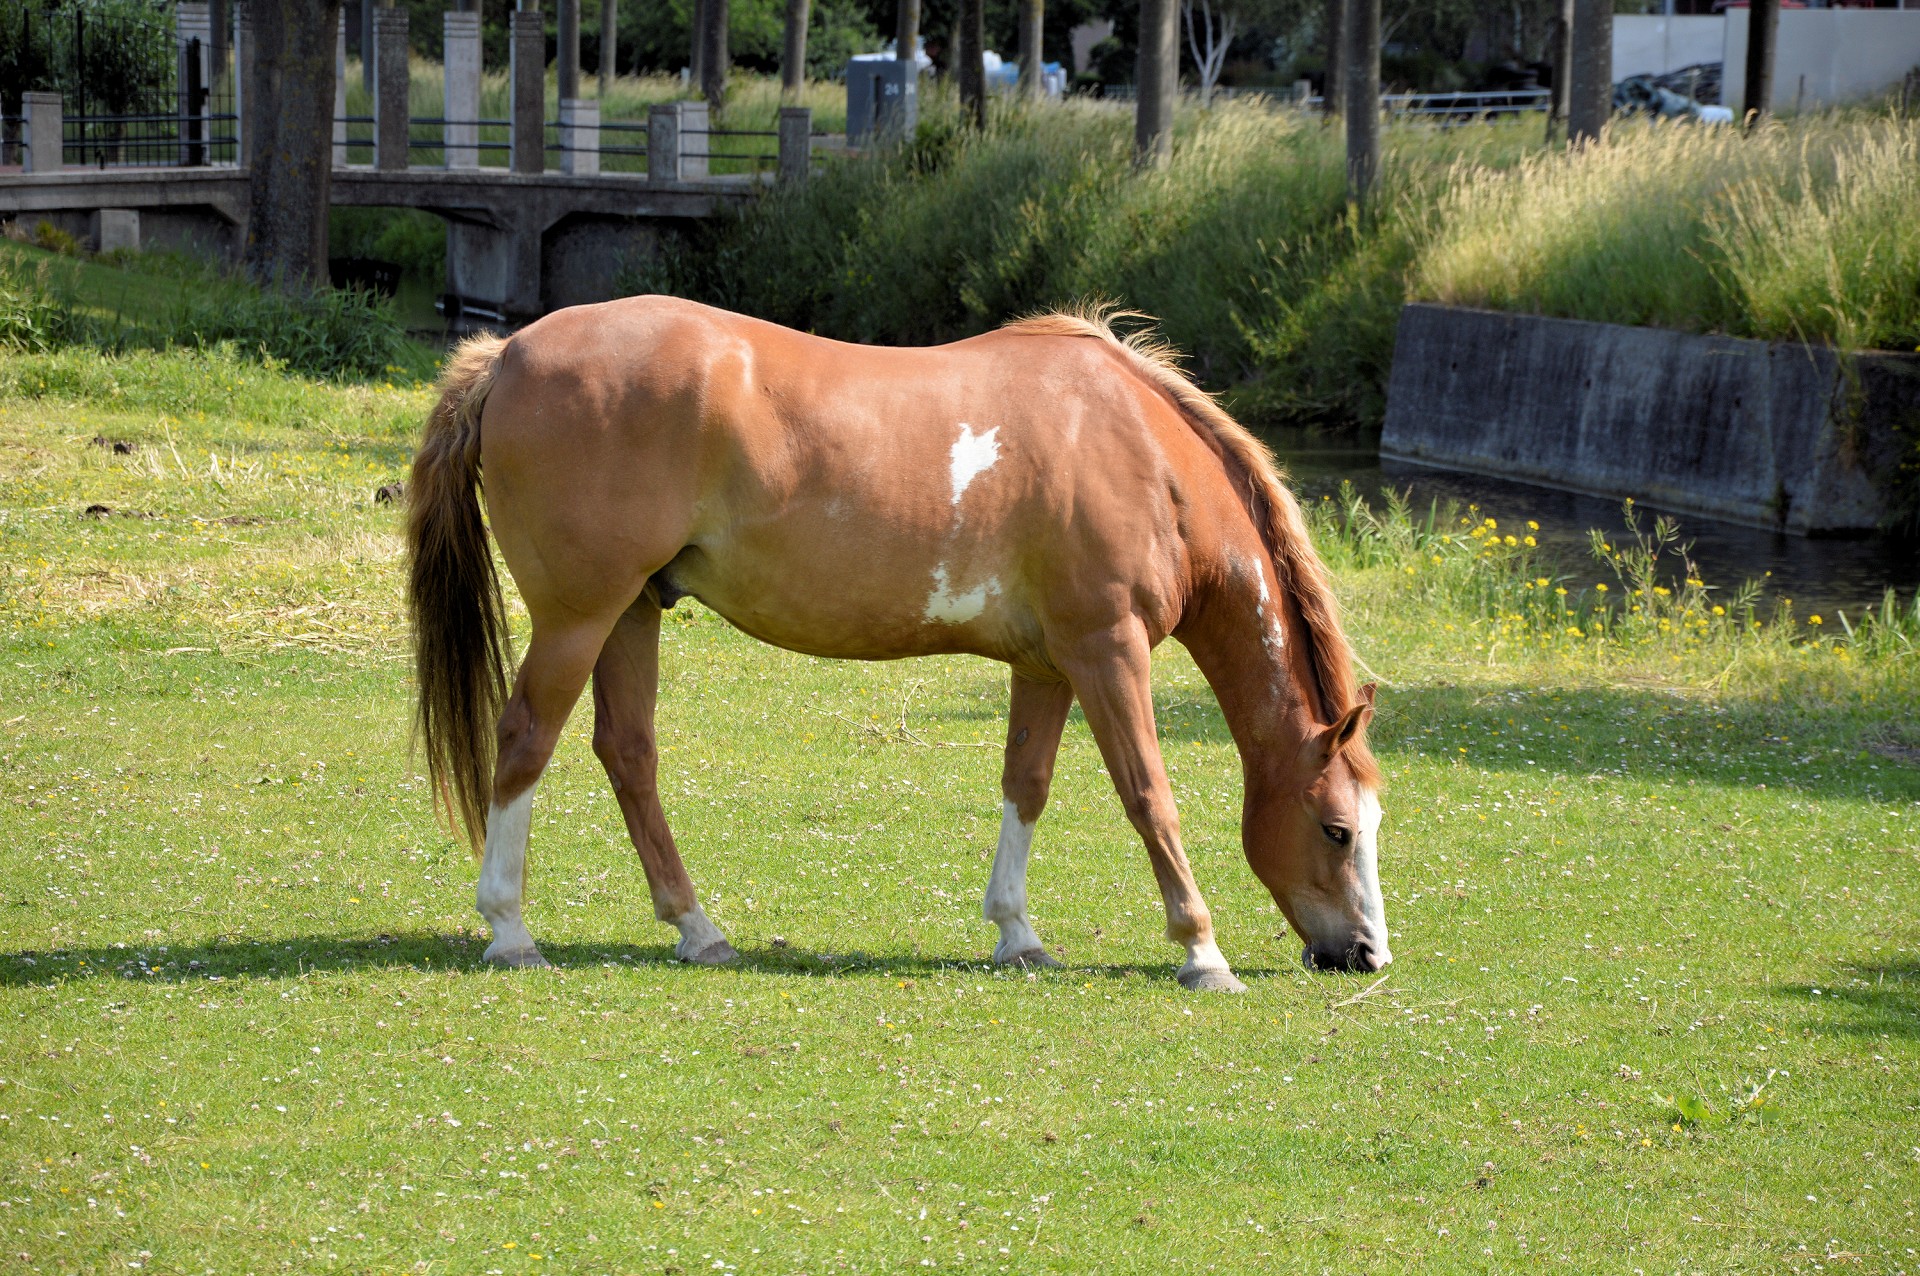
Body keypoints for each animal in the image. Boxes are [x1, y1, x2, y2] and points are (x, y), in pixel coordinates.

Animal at [408, 295, 1397, 982]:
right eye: (1338, 829)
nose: (1366, 955)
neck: (1145, 457)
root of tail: (509, 355)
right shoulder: (1108, 651)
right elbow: (1150, 795)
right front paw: (1202, 950)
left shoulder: (1050, 665)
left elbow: (1027, 786)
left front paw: (1018, 933)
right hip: (579, 616)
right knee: (525, 739)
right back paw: (510, 931)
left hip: (632, 612)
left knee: (628, 753)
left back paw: (699, 929)